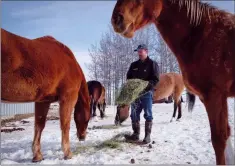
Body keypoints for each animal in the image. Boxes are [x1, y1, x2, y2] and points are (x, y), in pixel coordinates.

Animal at [0, 28, 90, 162]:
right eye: (88, 119)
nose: (83, 137)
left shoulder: (42, 101)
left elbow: (39, 125)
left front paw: (37, 155)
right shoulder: (68, 97)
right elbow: (65, 124)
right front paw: (67, 153)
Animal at [111, 0, 235, 165]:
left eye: (119, 109)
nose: (116, 19)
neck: (202, 36)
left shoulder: (215, 95)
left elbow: (220, 139)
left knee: (177, 104)